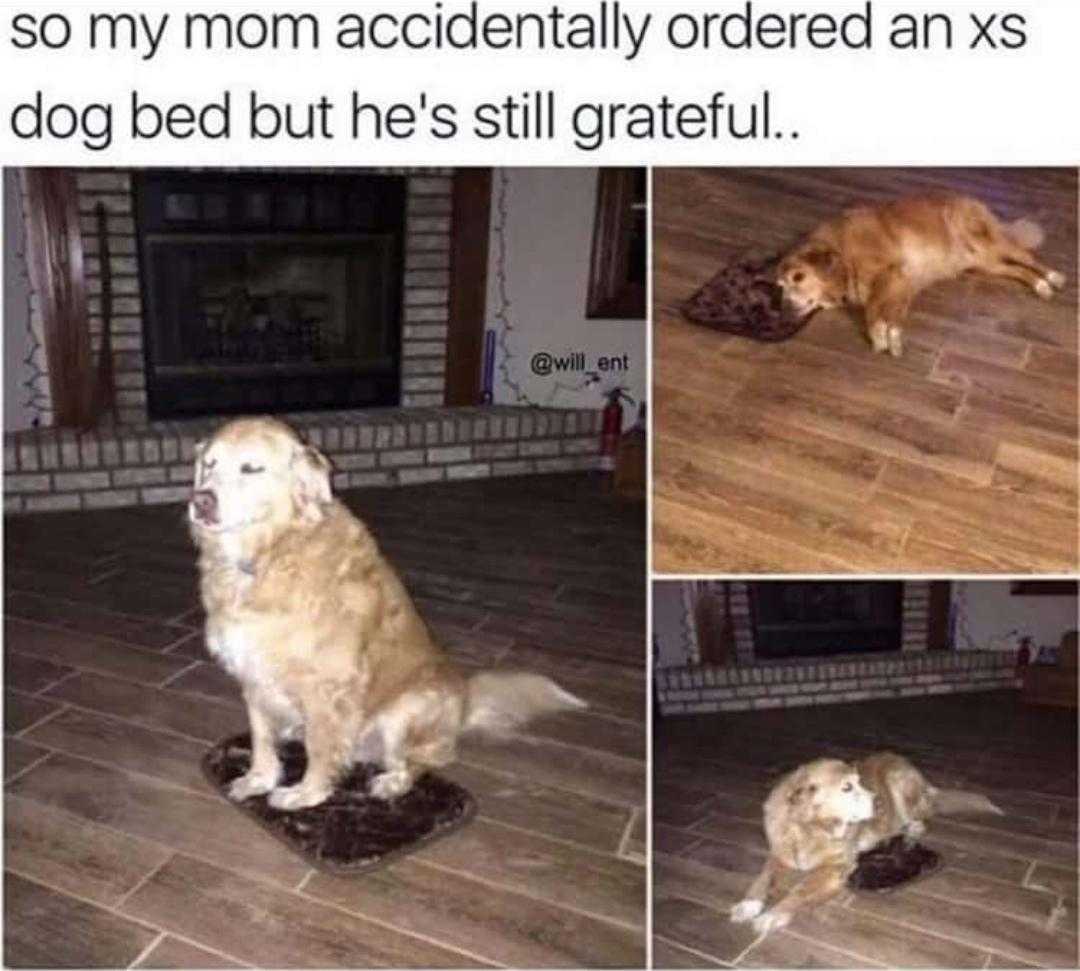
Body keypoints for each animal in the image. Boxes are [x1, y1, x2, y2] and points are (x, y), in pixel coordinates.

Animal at [190, 416, 587, 812]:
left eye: (251, 468)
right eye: (209, 464)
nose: (201, 501)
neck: (271, 554)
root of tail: (464, 702)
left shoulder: (327, 687)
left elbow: (320, 748)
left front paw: (307, 794)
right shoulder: (253, 675)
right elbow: (261, 737)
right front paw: (258, 779)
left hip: (405, 712)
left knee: (421, 761)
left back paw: (392, 783)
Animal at [730, 751, 1006, 933]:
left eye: (859, 782)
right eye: (847, 788)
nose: (879, 802)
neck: (809, 828)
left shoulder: (837, 867)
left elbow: (801, 890)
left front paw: (774, 914)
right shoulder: (778, 853)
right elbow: (762, 879)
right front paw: (748, 905)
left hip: (898, 784)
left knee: (925, 815)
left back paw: (913, 827)